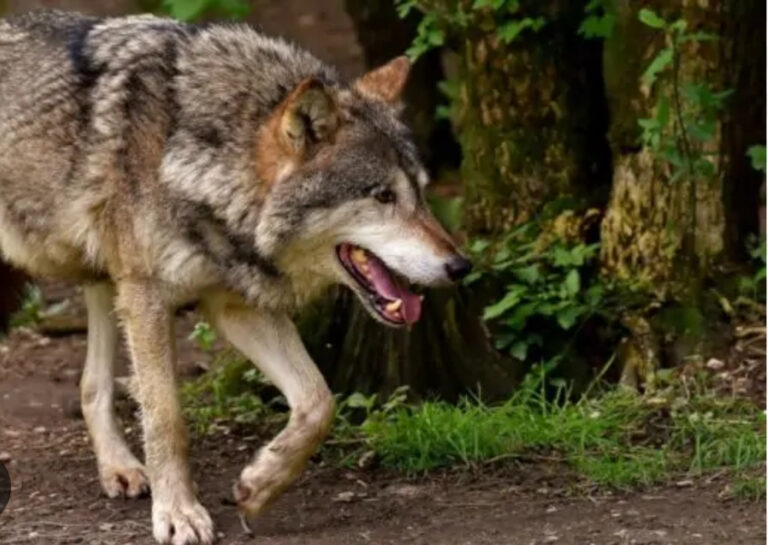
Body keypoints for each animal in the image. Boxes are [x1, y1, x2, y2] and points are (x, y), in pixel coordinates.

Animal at [0, 9, 472, 544]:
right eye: (383, 196)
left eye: (422, 194)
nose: (460, 266)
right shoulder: (148, 298)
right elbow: (167, 418)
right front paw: (179, 513)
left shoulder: (233, 304)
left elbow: (318, 401)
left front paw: (260, 485)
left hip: (105, 281)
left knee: (91, 385)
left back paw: (119, 468)